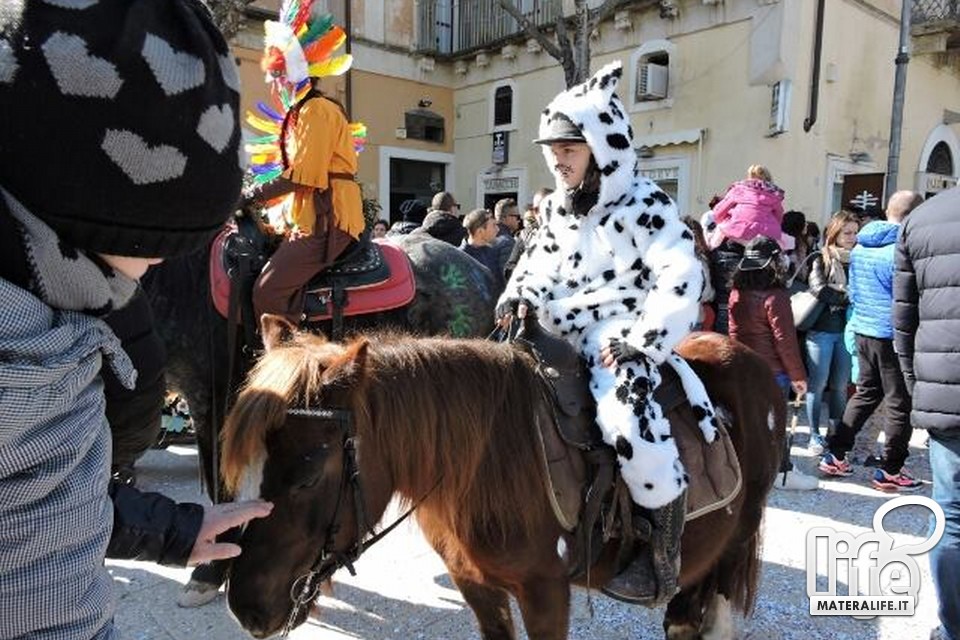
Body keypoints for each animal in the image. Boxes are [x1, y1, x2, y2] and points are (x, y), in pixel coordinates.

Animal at [223, 320, 788, 640]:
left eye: (307, 476)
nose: (246, 609)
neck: (483, 463)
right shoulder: (474, 585)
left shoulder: (546, 592)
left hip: (730, 544)